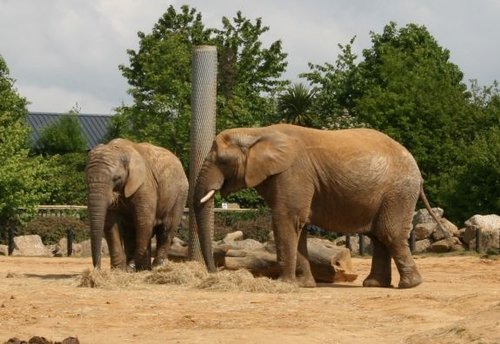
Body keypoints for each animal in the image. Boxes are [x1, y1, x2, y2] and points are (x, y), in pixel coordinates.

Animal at [85, 138, 188, 270]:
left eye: (116, 178)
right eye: (86, 179)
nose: (97, 269)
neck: (120, 149)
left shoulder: (144, 184)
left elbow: (143, 220)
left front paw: (143, 269)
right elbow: (110, 223)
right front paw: (119, 270)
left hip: (180, 194)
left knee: (166, 228)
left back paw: (157, 266)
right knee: (130, 232)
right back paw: (131, 267)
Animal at [193, 123, 444, 288]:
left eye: (222, 161)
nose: (214, 272)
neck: (256, 132)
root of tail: (416, 168)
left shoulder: (292, 173)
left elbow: (286, 220)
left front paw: (285, 285)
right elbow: (299, 226)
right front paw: (304, 286)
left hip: (398, 191)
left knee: (389, 233)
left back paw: (409, 285)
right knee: (378, 236)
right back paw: (374, 285)